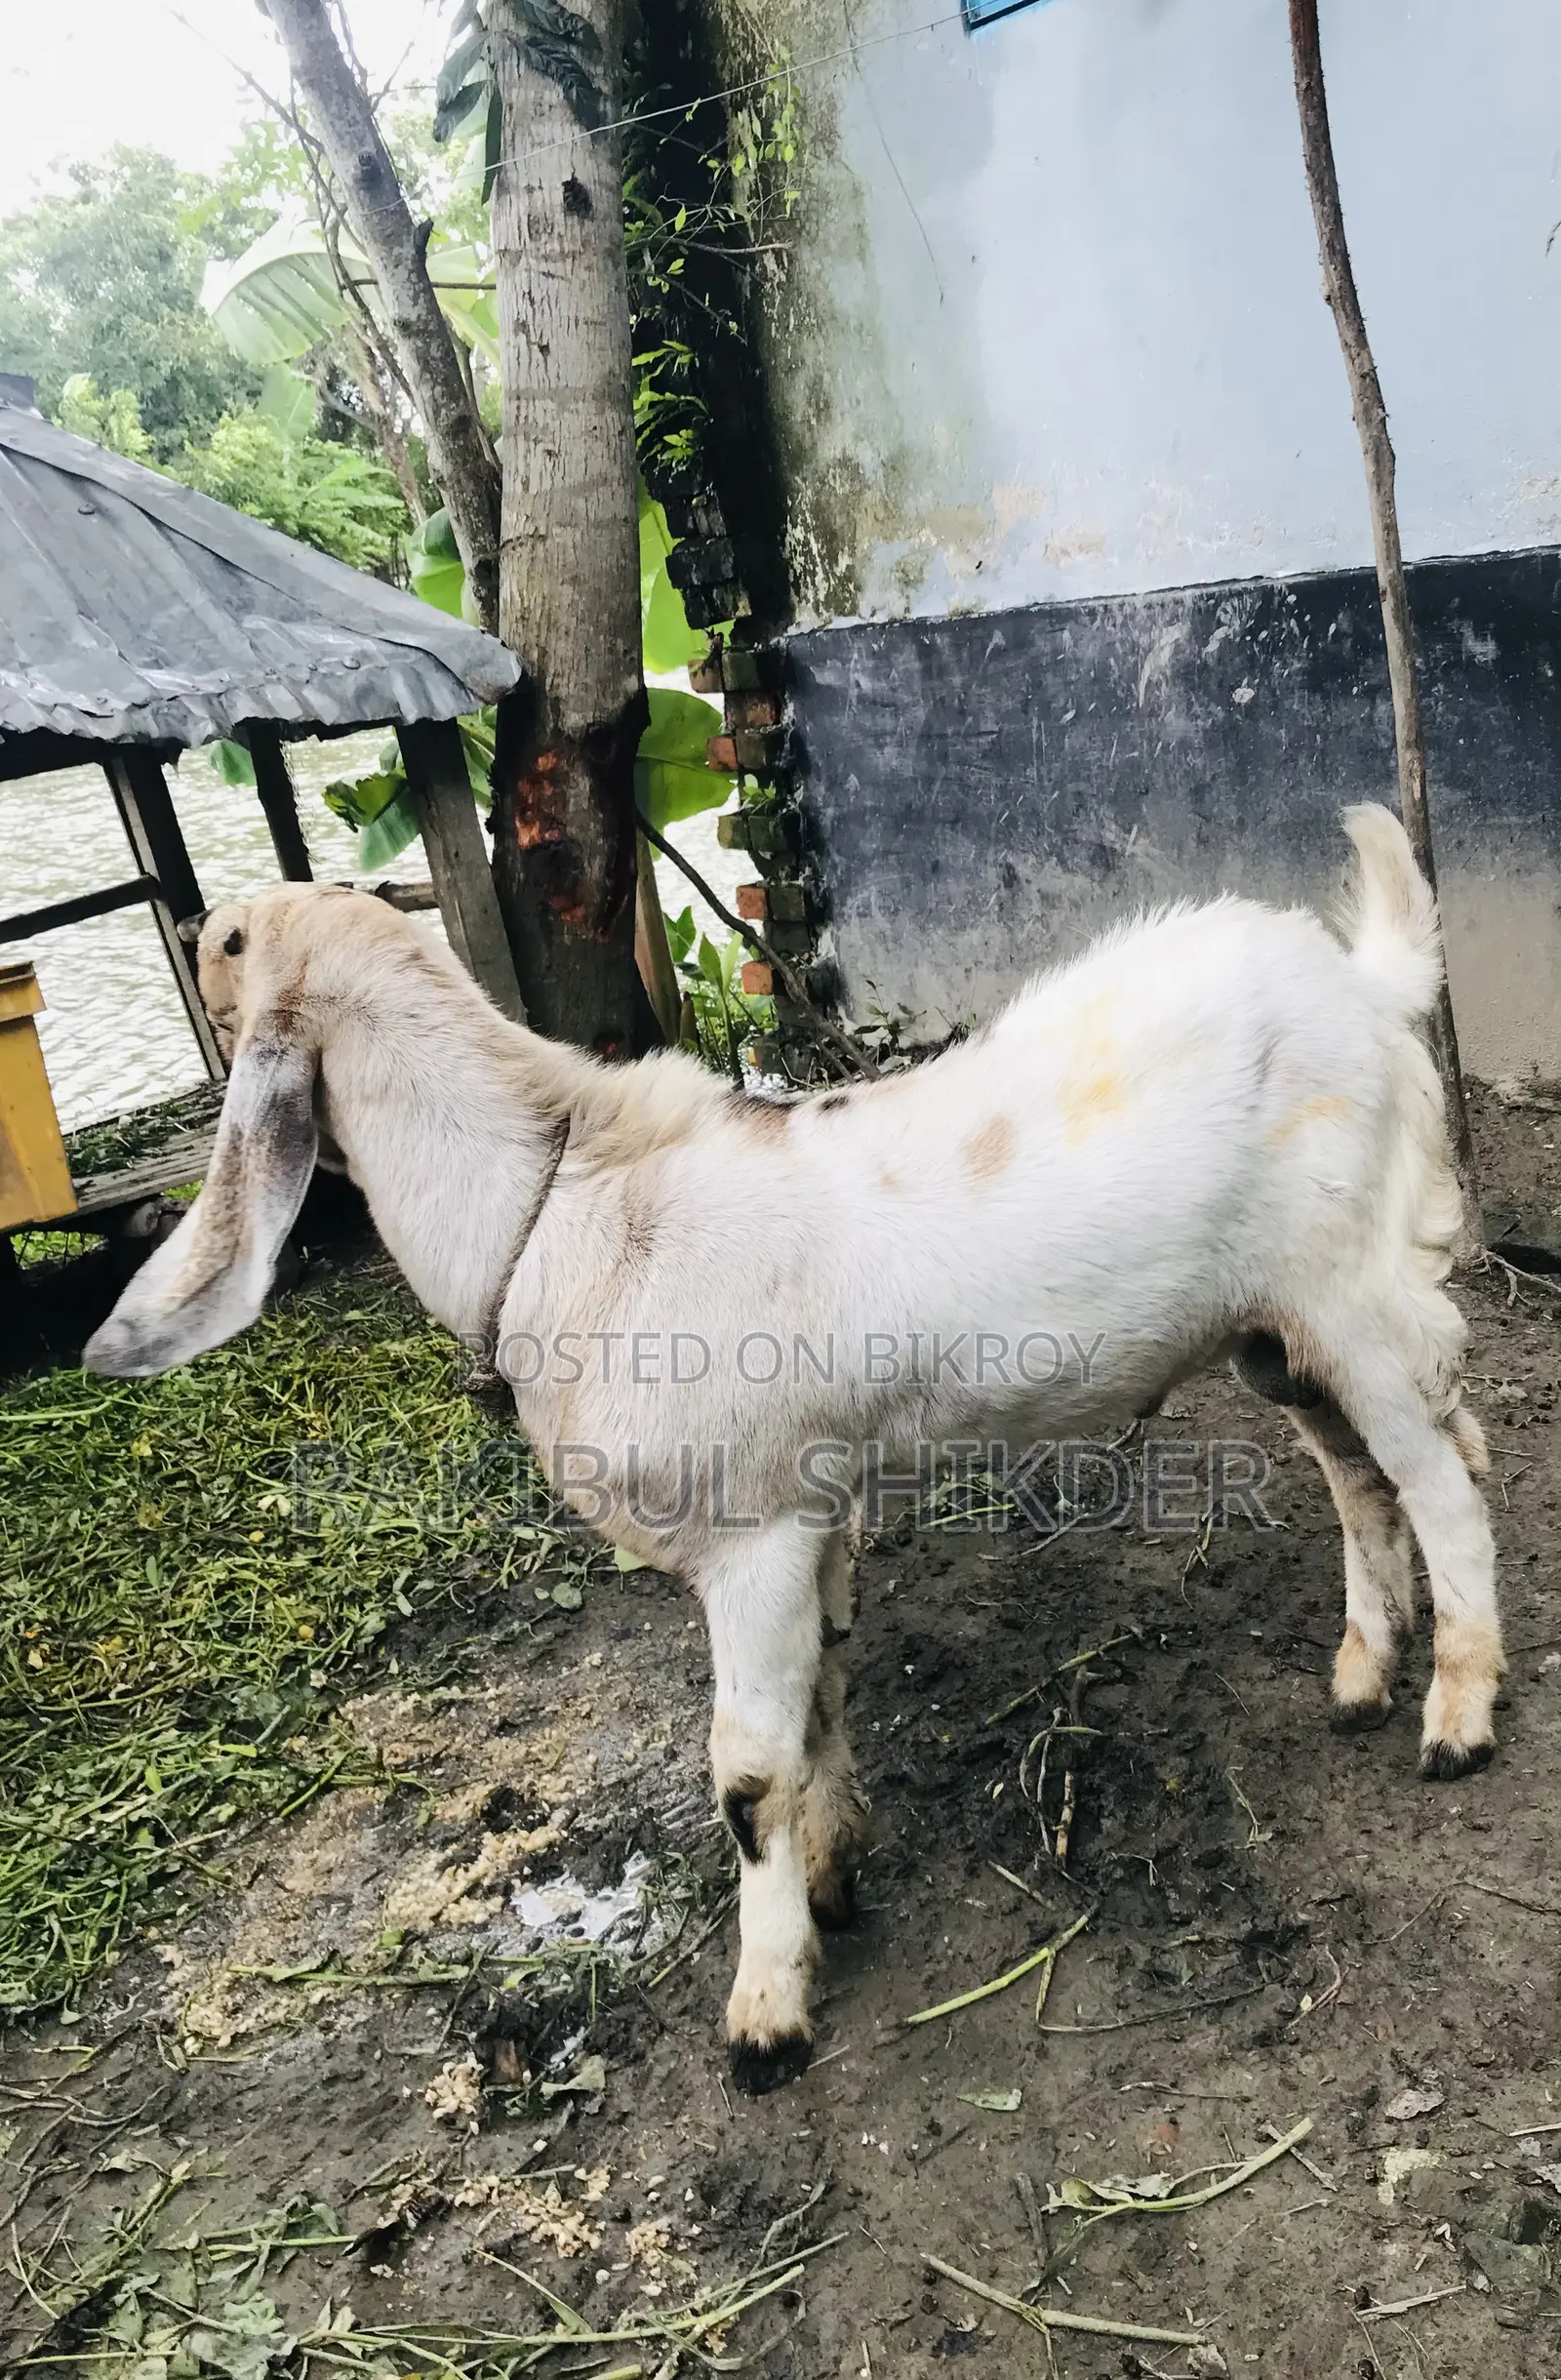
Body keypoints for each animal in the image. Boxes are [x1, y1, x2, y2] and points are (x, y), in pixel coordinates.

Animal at [85, 805, 1501, 2093]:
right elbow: (818, 1698)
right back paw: (1364, 1670)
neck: (560, 1215)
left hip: (1351, 1288)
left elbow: (748, 1771)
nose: (193, 932)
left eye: (227, 943)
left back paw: (1459, 1717)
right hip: (1274, 1328)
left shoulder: (750, 1532)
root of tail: (1364, 979)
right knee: (1357, 1472)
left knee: (1445, 1477)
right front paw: (834, 1870)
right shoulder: (810, 1518)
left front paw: (766, 2010)